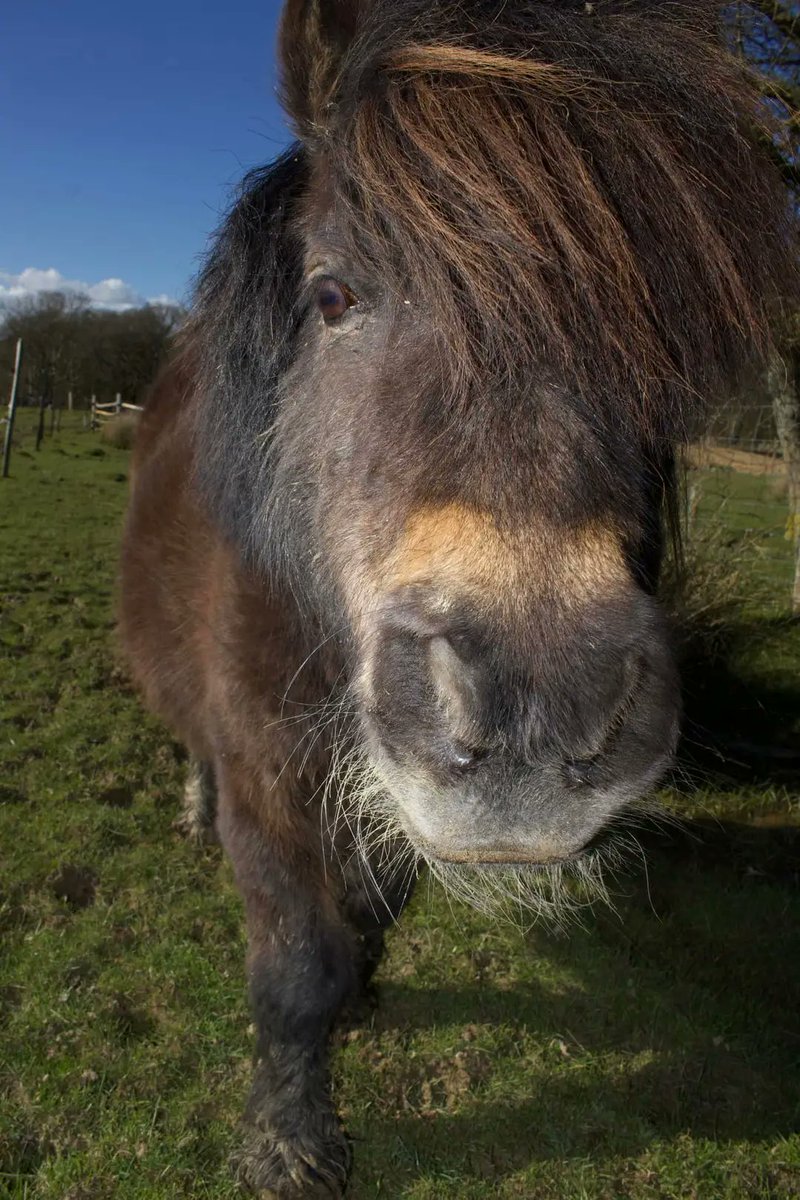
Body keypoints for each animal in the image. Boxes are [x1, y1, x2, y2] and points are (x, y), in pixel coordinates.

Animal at [120, 2, 796, 1190]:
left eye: (662, 343)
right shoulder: (266, 779)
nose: (540, 708)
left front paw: (363, 995)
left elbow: (368, 917)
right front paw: (287, 1146)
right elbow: (294, 964)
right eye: (332, 295)